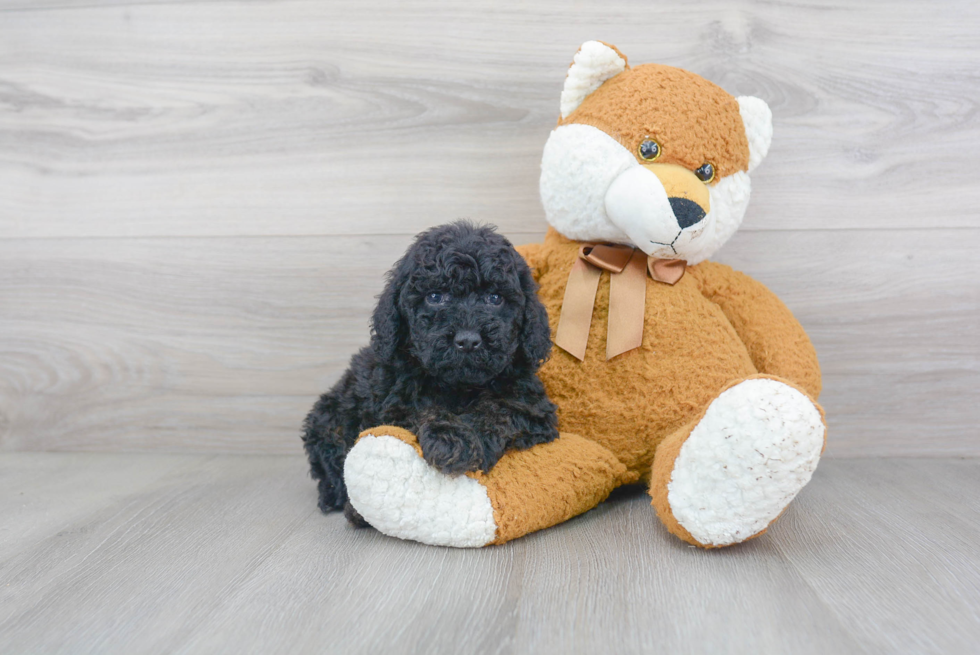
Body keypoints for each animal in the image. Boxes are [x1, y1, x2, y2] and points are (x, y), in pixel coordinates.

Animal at [298, 223, 560, 524]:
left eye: (495, 298)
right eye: (435, 297)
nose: (468, 340)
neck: (458, 386)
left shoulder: (535, 409)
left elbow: (500, 409)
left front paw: (462, 442)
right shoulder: (393, 404)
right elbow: (422, 410)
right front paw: (449, 438)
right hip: (330, 415)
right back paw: (341, 501)